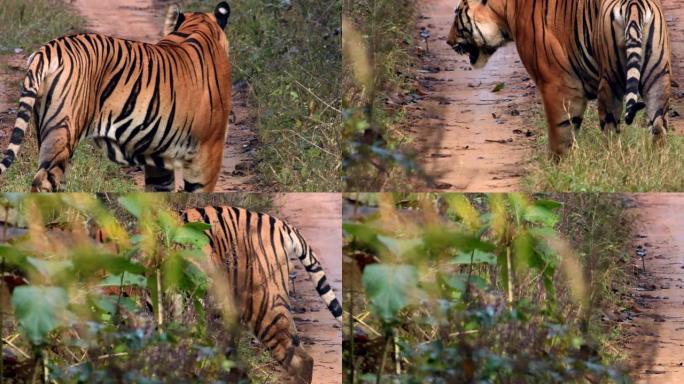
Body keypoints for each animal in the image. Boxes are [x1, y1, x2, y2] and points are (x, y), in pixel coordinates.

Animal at [0, 2, 232, 192]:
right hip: (64, 132)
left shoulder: (159, 156)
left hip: (46, 130)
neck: (198, 28)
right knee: (43, 182)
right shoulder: (209, 150)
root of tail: (46, 50)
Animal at [446, 0, 672, 156]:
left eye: (457, 13)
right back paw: (657, 161)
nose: (448, 42)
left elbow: (561, 133)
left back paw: (612, 158)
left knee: (611, 130)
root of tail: (634, 4)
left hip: (612, 82)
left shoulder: (558, 84)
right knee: (658, 127)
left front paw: (559, 165)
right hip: (658, 77)